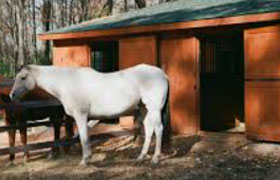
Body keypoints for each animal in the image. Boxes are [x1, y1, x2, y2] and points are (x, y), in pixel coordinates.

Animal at [9, 63, 170, 166]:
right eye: (16, 77)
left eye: (23, 77)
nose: (12, 95)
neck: (67, 82)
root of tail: (162, 74)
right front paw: (88, 158)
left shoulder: (81, 115)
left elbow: (83, 137)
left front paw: (85, 161)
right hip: (144, 108)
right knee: (149, 129)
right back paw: (141, 157)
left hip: (154, 108)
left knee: (158, 129)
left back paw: (155, 158)